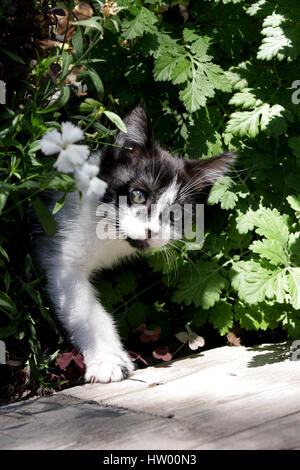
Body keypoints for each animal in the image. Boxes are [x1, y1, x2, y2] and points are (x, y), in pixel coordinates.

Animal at [35, 104, 236, 384]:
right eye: (138, 195)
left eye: (175, 214)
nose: (151, 231)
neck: (109, 234)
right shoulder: (62, 249)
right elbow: (84, 309)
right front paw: (108, 361)